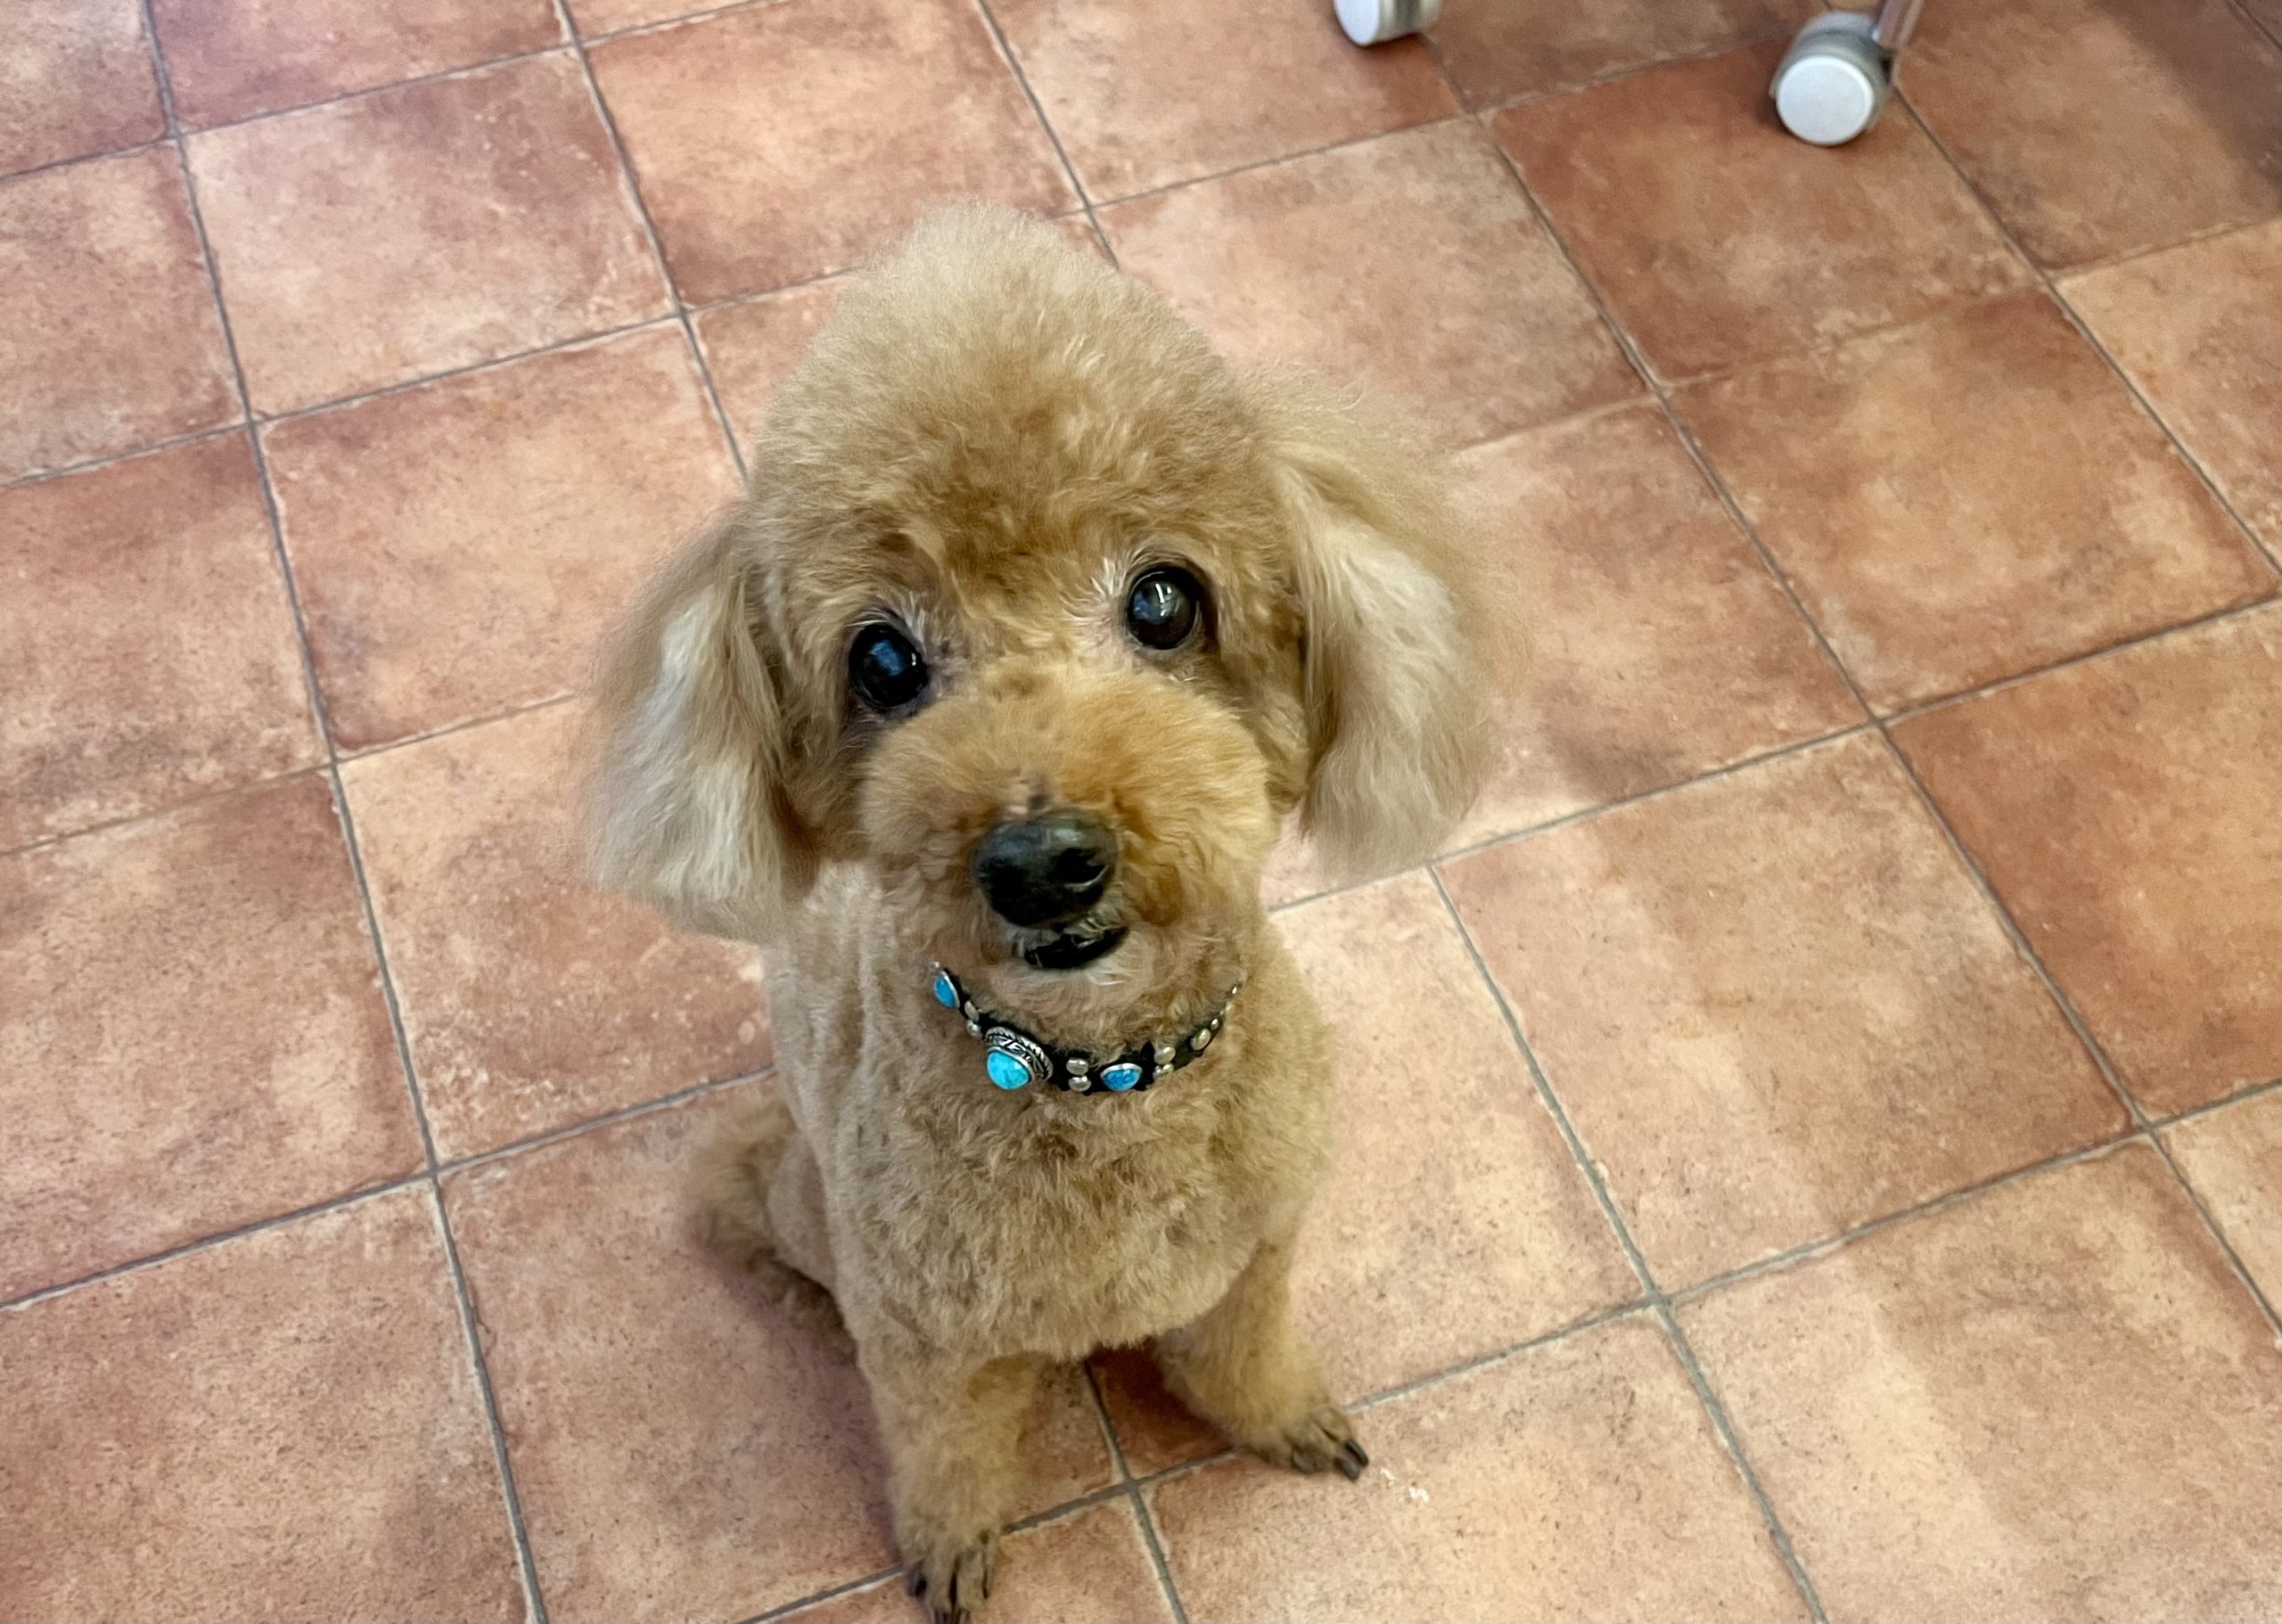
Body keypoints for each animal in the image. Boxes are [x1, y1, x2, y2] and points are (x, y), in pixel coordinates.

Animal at [586, 205, 1493, 1620]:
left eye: (1165, 599)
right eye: (884, 661)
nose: (1042, 859)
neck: (1101, 1076)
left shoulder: (1258, 1251)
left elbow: (1239, 1351)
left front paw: (1278, 1418)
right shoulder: (926, 1343)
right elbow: (948, 1455)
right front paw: (953, 1549)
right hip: (796, 1192)